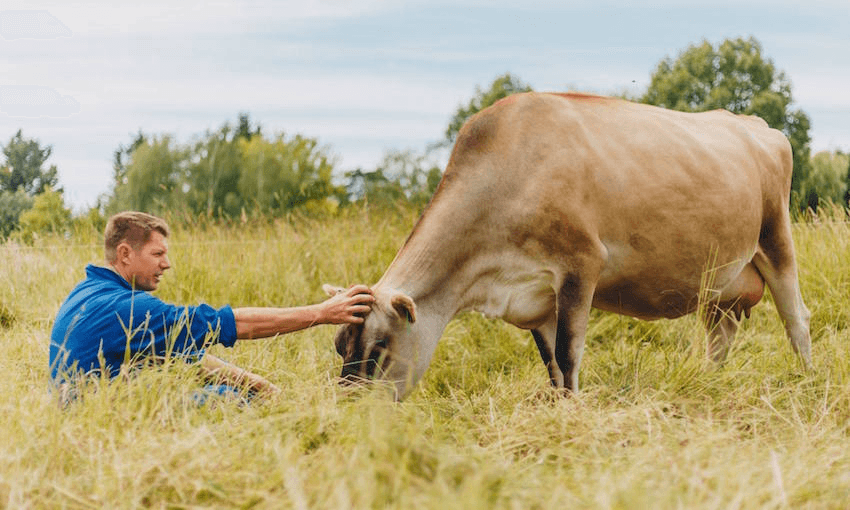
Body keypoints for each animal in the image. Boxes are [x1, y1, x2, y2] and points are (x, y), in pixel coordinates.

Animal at [328, 91, 812, 400]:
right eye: (338, 346)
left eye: (379, 349)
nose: (348, 413)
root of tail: (751, 123)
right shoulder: (537, 301)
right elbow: (553, 367)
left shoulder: (581, 266)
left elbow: (569, 354)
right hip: (720, 285)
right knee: (719, 338)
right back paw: (709, 383)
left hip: (776, 241)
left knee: (796, 320)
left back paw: (807, 381)